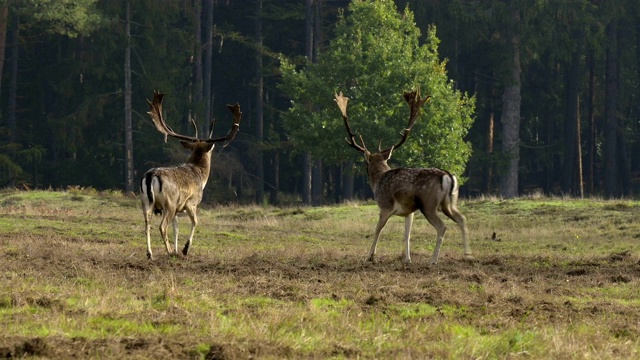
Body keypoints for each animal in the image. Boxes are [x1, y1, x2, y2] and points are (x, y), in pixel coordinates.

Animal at [139, 91, 240, 260]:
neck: (200, 175)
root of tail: (151, 176)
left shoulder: (178, 209)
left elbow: (176, 228)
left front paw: (177, 249)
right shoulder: (191, 202)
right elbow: (195, 222)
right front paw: (185, 249)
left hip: (146, 201)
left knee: (147, 225)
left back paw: (150, 254)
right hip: (169, 202)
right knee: (162, 226)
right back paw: (168, 252)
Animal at [332, 90, 472, 264]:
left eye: (365, 163)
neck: (378, 181)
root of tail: (447, 176)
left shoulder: (385, 205)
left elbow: (378, 229)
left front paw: (369, 255)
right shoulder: (408, 211)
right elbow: (407, 234)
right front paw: (407, 258)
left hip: (428, 203)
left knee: (442, 227)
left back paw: (433, 260)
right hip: (449, 203)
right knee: (462, 219)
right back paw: (468, 254)